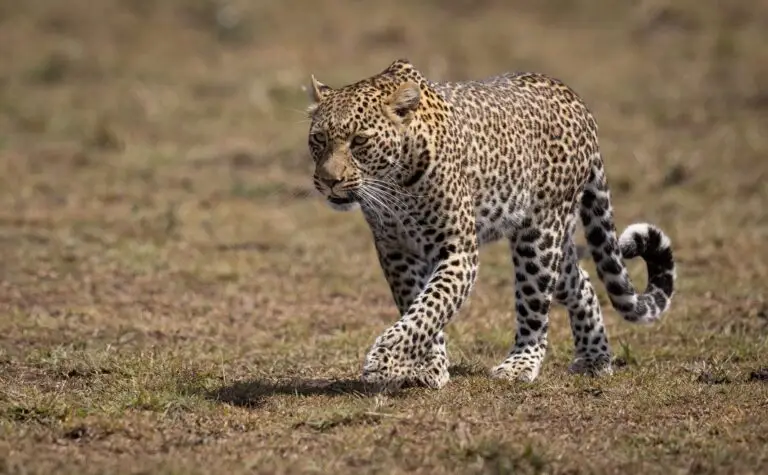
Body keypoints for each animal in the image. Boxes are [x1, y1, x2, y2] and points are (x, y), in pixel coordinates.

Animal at [305, 59, 676, 392]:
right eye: (318, 139)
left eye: (359, 141)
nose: (329, 181)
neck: (395, 183)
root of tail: (575, 98)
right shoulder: (395, 251)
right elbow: (416, 304)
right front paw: (427, 367)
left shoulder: (458, 250)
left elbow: (430, 307)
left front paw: (385, 361)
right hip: (555, 241)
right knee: (580, 281)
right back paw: (594, 358)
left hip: (539, 236)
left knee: (535, 308)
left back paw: (520, 365)